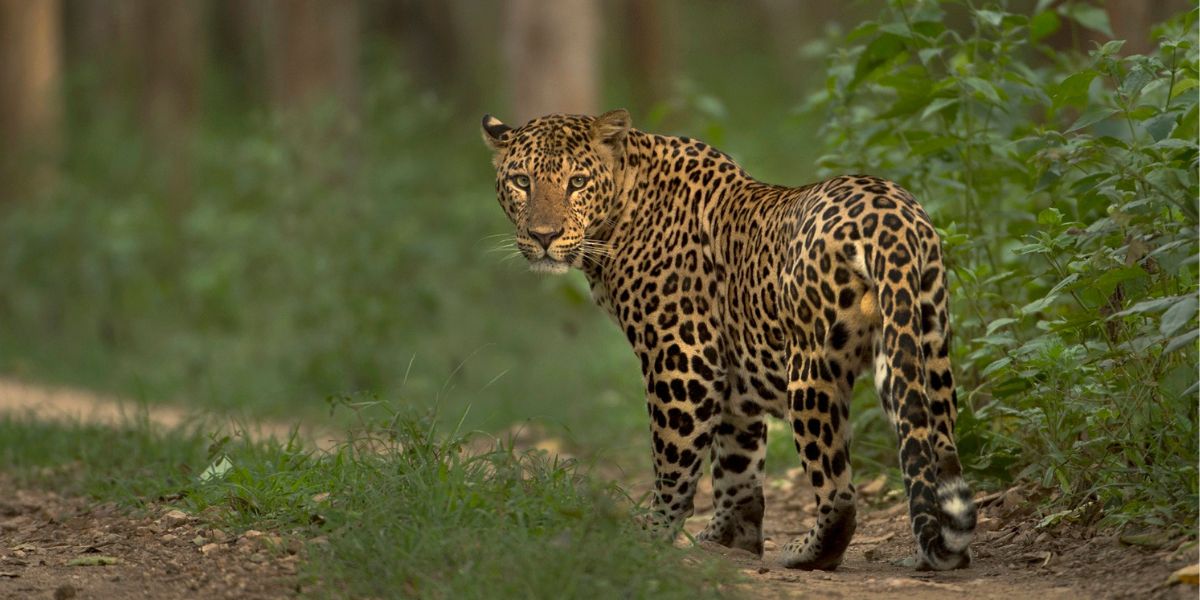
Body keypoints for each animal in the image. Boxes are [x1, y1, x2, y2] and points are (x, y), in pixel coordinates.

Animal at [480, 109, 976, 571]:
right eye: (522, 181)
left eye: (577, 182)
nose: (544, 236)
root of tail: (892, 220)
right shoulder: (736, 373)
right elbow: (737, 461)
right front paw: (730, 539)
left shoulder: (683, 358)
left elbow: (674, 458)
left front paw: (652, 534)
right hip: (923, 346)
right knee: (935, 446)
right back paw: (942, 550)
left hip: (812, 369)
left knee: (838, 490)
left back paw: (808, 552)